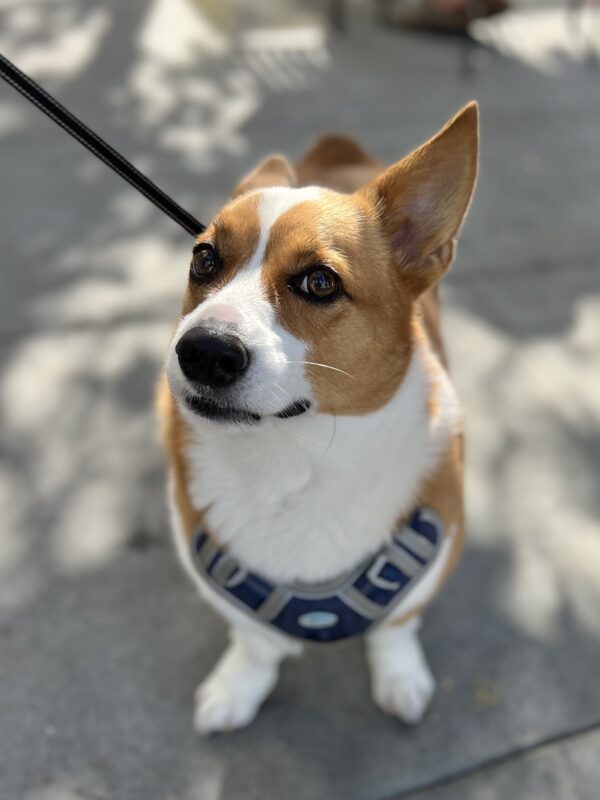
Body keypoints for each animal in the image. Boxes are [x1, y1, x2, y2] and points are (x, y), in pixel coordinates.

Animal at [158, 103, 478, 736]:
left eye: (320, 282)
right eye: (204, 259)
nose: (202, 352)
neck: (295, 454)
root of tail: (338, 149)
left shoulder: (438, 544)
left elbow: (396, 627)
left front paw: (400, 677)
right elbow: (254, 640)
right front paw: (238, 687)